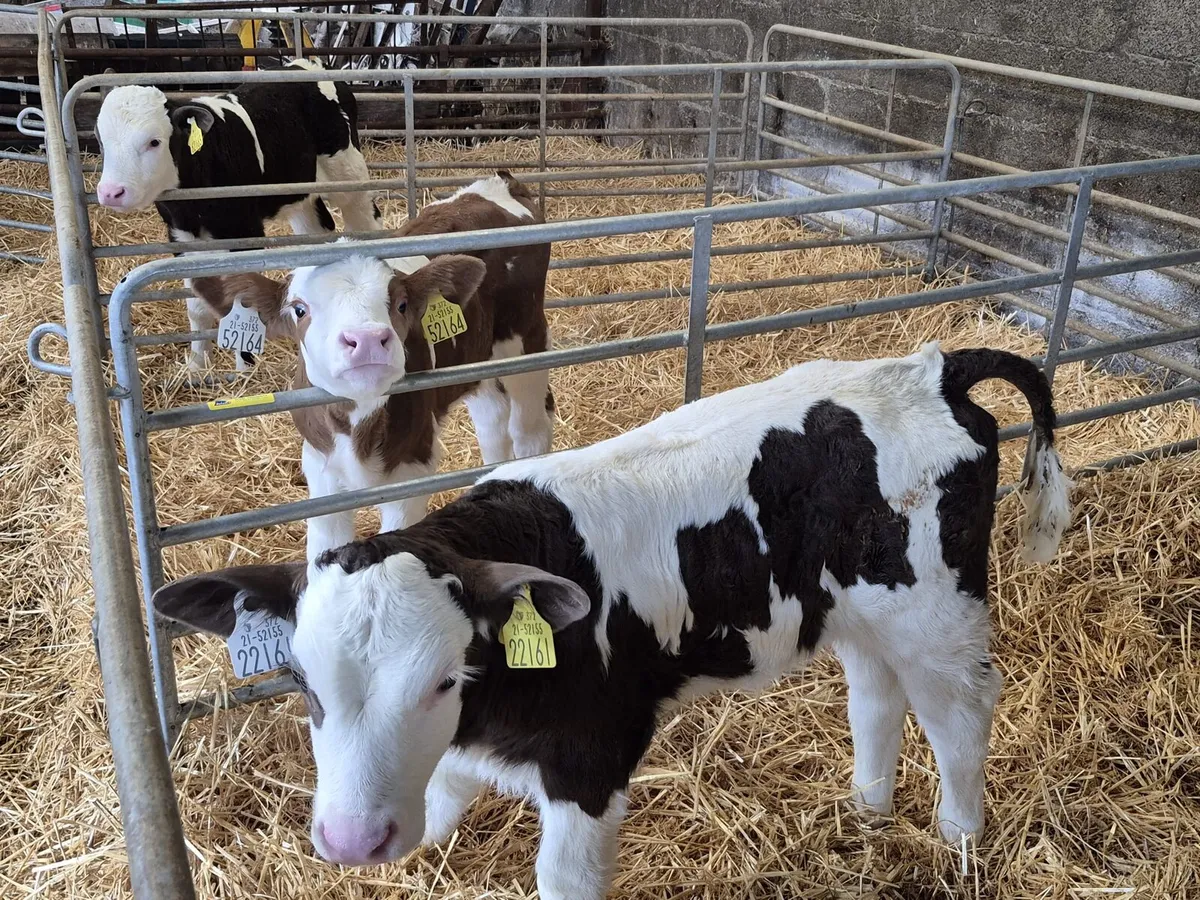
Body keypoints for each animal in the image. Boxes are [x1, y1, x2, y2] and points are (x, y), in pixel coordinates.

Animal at [94, 59, 383, 372]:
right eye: (100, 139)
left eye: (154, 142)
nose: (111, 192)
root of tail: (307, 64)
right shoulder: (181, 239)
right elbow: (196, 307)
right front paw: (197, 365)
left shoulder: (244, 232)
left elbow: (242, 304)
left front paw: (245, 366)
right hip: (301, 195)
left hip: (350, 177)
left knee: (366, 219)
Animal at [153, 343, 1072, 900]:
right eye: (302, 683)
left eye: (445, 678)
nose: (351, 841)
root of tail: (932, 367)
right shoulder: (462, 756)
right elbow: (439, 807)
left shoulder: (590, 763)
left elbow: (563, 878)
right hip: (862, 613)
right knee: (878, 697)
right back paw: (868, 812)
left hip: (939, 612)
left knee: (959, 717)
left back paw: (957, 843)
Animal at [190, 172, 554, 561]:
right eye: (299, 309)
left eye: (402, 304)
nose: (365, 339)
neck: (358, 427)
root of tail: (500, 181)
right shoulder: (320, 471)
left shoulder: (412, 466)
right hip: (477, 360)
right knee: (492, 421)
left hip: (526, 339)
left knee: (528, 428)